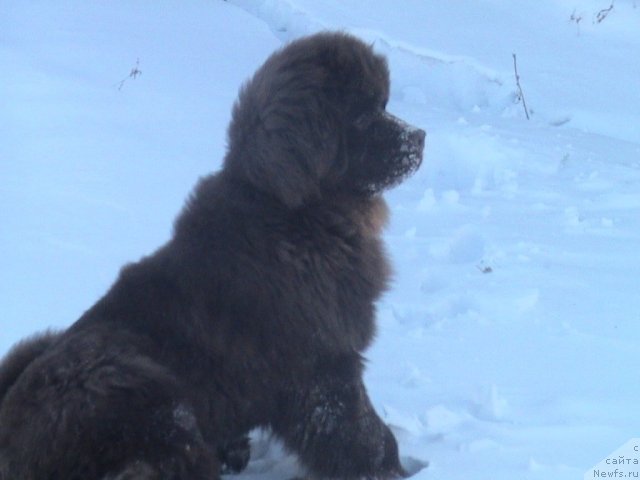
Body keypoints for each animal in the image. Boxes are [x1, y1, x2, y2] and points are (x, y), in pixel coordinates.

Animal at [0, 31, 424, 478]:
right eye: (363, 115)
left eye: (385, 104)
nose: (420, 137)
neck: (298, 216)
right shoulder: (322, 368)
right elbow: (365, 433)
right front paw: (388, 469)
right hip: (139, 386)